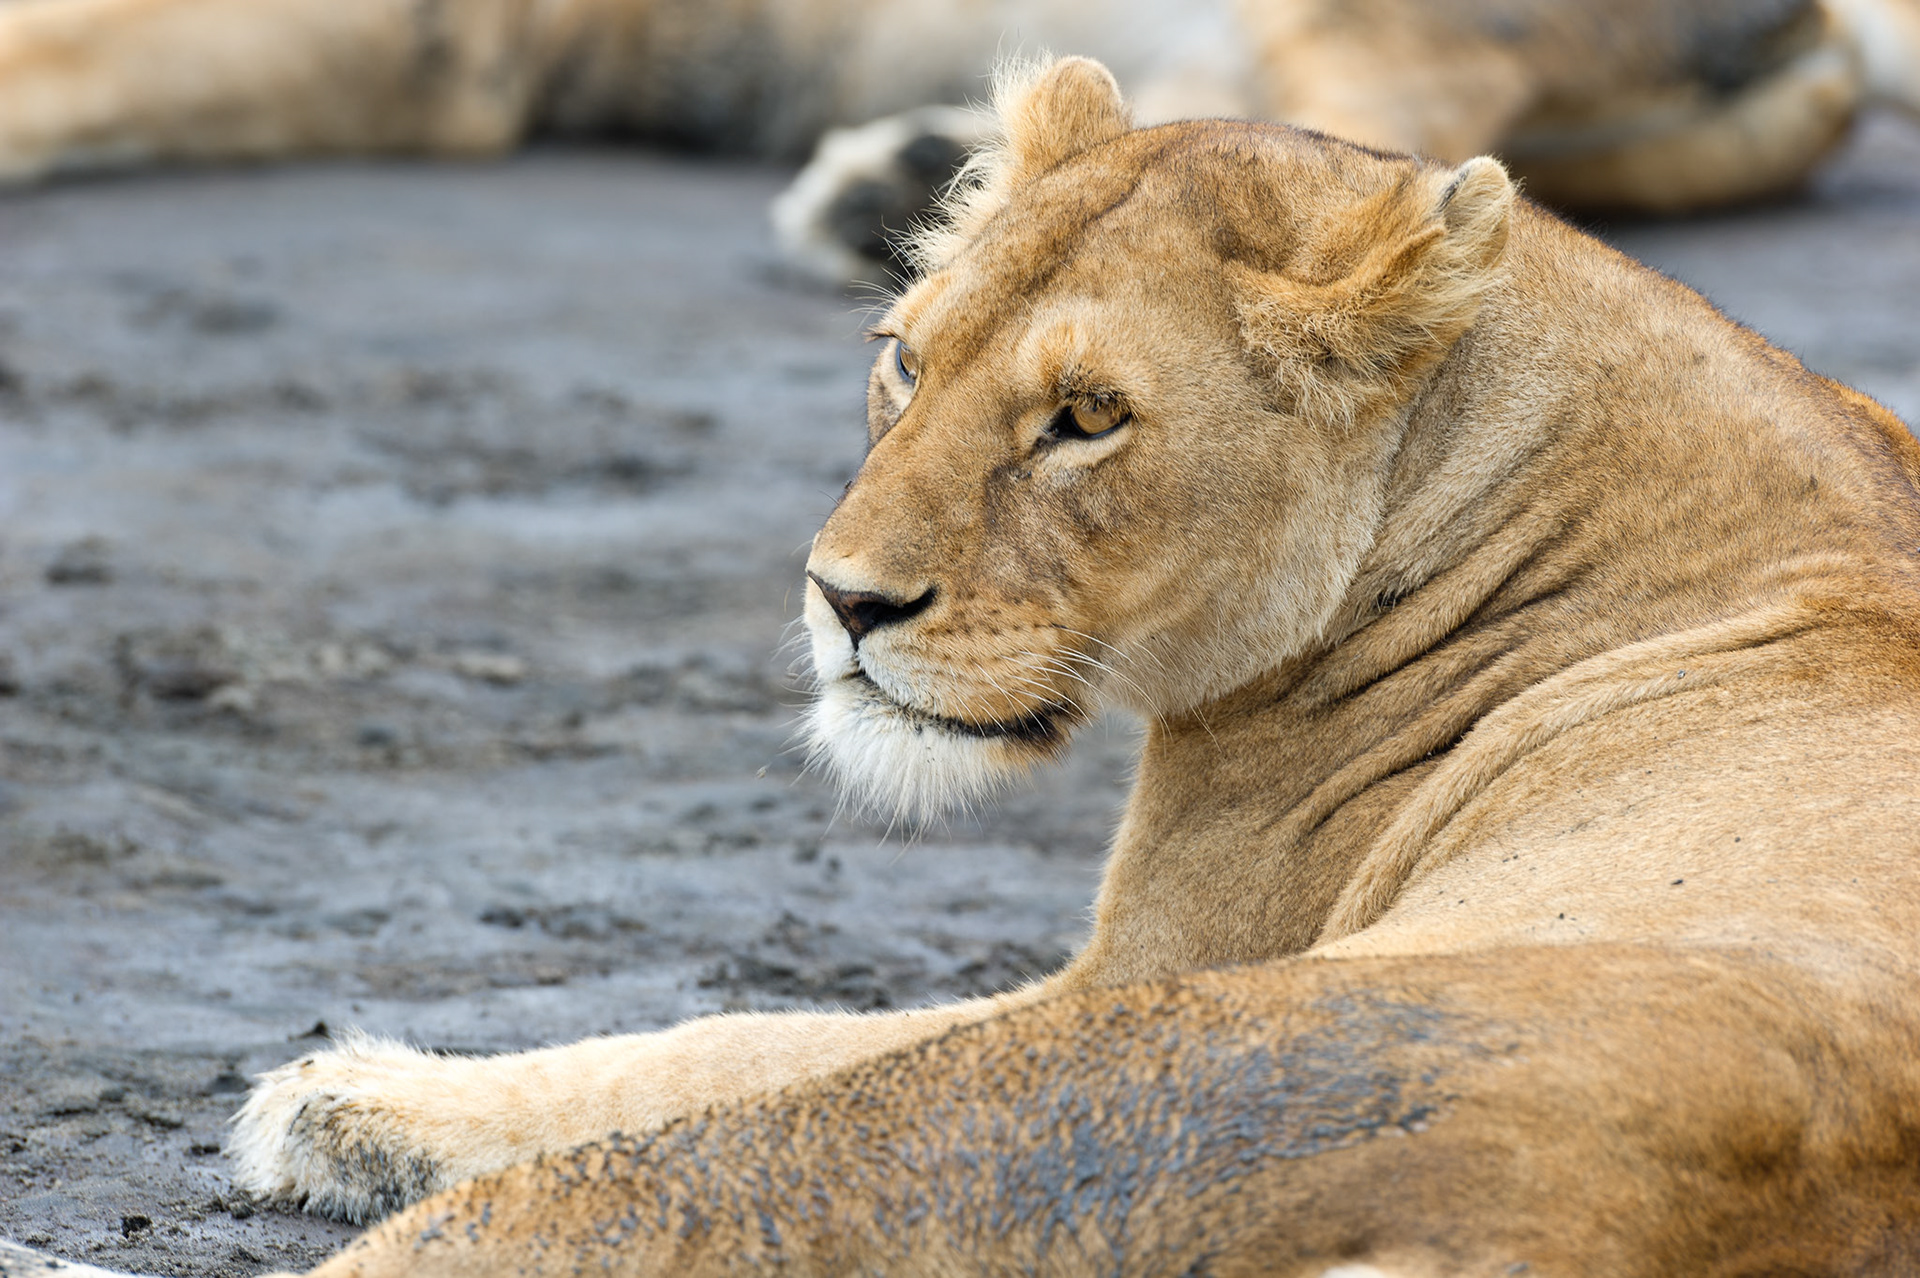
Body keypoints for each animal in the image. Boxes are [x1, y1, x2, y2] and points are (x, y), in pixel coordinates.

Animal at [9, 50, 1920, 1278]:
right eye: (903, 357)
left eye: (1083, 418)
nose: (842, 601)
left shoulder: (1135, 969)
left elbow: (725, 1033)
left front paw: (346, 1098)